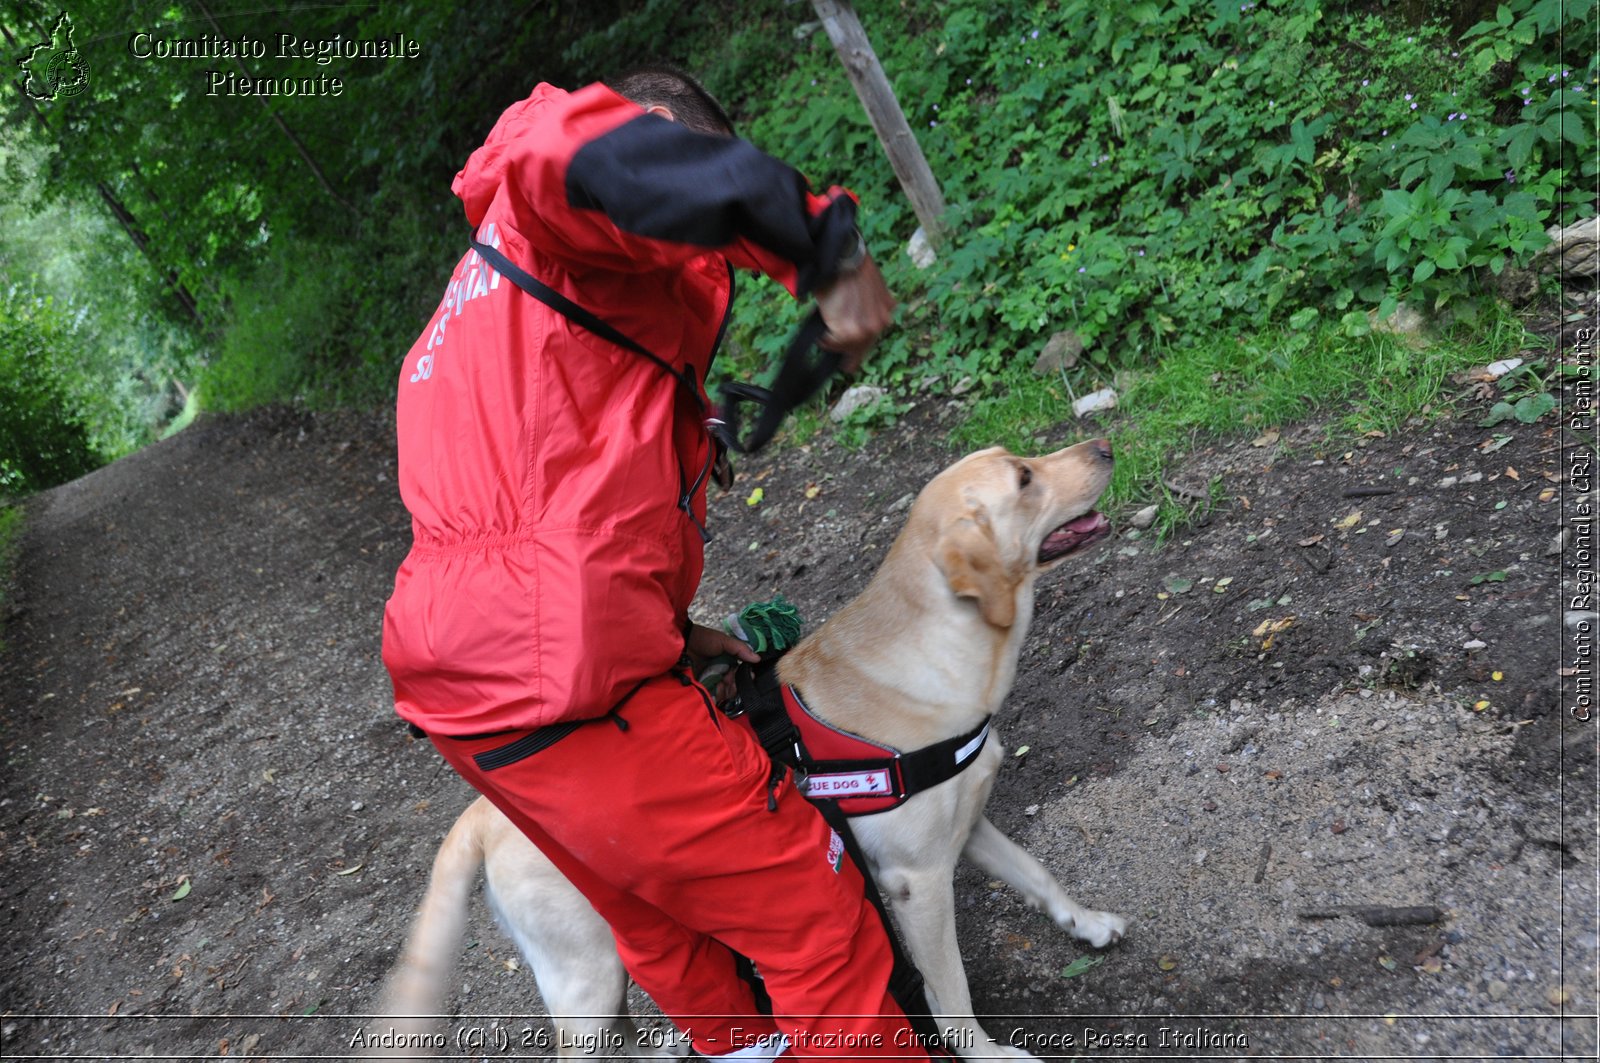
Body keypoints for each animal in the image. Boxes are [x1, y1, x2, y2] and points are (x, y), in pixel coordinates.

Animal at [377, 438, 1126, 1056]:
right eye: (1024, 478)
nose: (1103, 444)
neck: (941, 651)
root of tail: (483, 813)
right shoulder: (917, 882)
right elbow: (953, 994)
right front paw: (992, 1055)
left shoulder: (966, 828)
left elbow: (1036, 873)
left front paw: (1087, 922)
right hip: (585, 972)